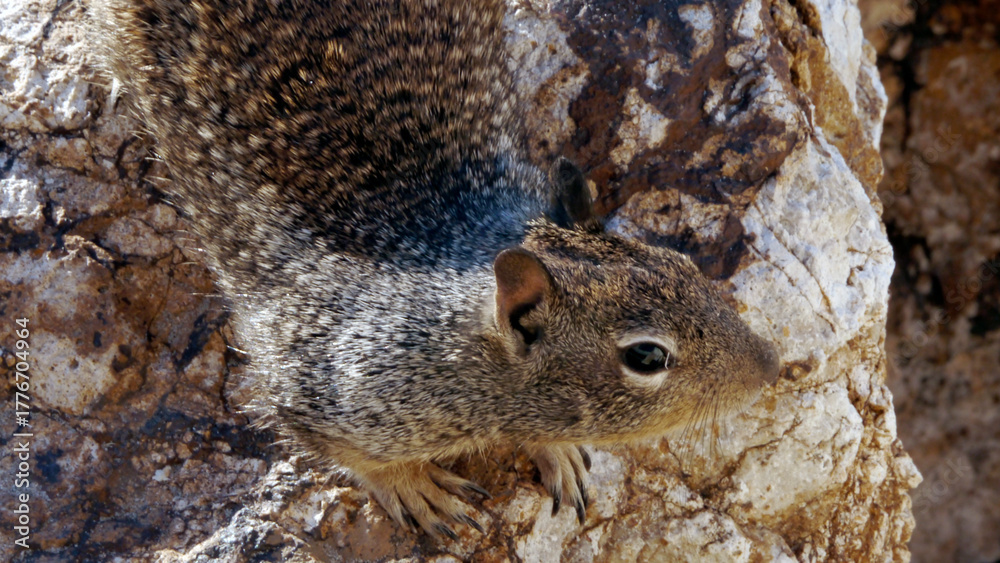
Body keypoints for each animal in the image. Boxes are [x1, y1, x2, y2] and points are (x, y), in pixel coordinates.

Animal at [87, 0, 781, 539]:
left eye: (684, 263)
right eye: (647, 356)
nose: (772, 368)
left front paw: (556, 451)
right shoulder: (312, 387)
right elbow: (356, 458)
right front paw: (414, 489)